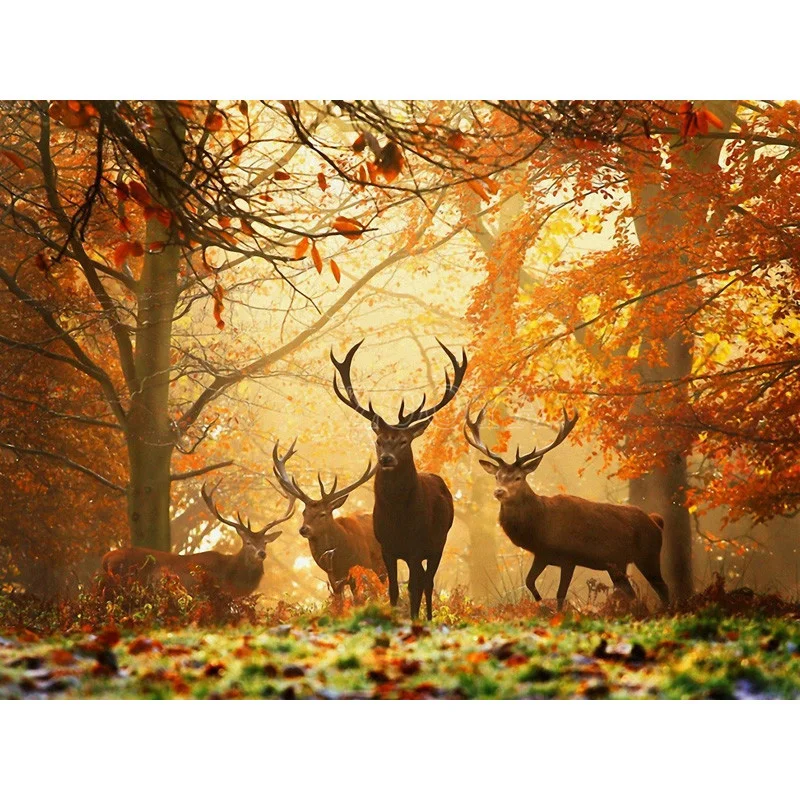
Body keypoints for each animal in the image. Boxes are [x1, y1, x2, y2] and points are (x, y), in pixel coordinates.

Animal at [331, 338, 467, 620]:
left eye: (404, 441)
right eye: (379, 440)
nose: (386, 459)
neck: (398, 518)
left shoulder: (416, 547)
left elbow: (415, 588)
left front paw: (414, 620)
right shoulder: (387, 547)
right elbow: (393, 589)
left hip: (439, 542)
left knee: (428, 582)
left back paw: (428, 618)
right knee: (424, 580)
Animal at [464, 404, 670, 611]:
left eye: (518, 477)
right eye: (497, 476)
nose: (499, 491)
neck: (540, 526)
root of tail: (656, 521)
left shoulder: (569, 557)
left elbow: (560, 594)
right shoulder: (542, 554)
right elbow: (529, 581)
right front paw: (541, 604)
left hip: (649, 554)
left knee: (663, 588)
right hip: (618, 564)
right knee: (630, 592)